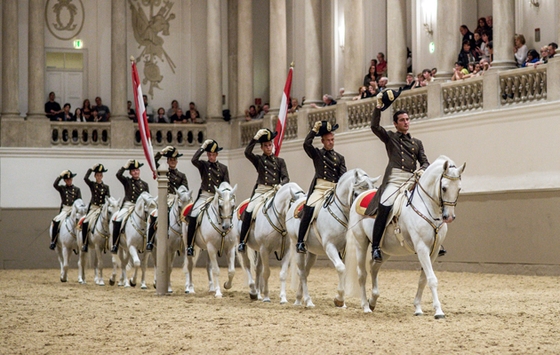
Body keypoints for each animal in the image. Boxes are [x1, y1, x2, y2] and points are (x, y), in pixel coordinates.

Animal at [286, 170, 378, 308]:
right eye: (356, 193)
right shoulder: (330, 246)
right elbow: (341, 268)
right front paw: (339, 299)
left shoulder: (343, 249)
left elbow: (344, 269)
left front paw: (342, 301)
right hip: (298, 247)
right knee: (301, 272)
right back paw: (308, 301)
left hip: (312, 252)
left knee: (306, 272)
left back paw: (298, 299)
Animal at [348, 157, 466, 318]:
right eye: (444, 188)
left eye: (459, 189)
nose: (449, 217)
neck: (427, 207)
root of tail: (360, 196)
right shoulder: (422, 248)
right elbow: (431, 279)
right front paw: (438, 311)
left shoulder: (433, 251)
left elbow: (423, 279)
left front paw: (418, 308)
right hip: (361, 242)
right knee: (362, 273)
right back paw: (366, 306)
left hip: (385, 250)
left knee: (374, 267)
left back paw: (373, 301)